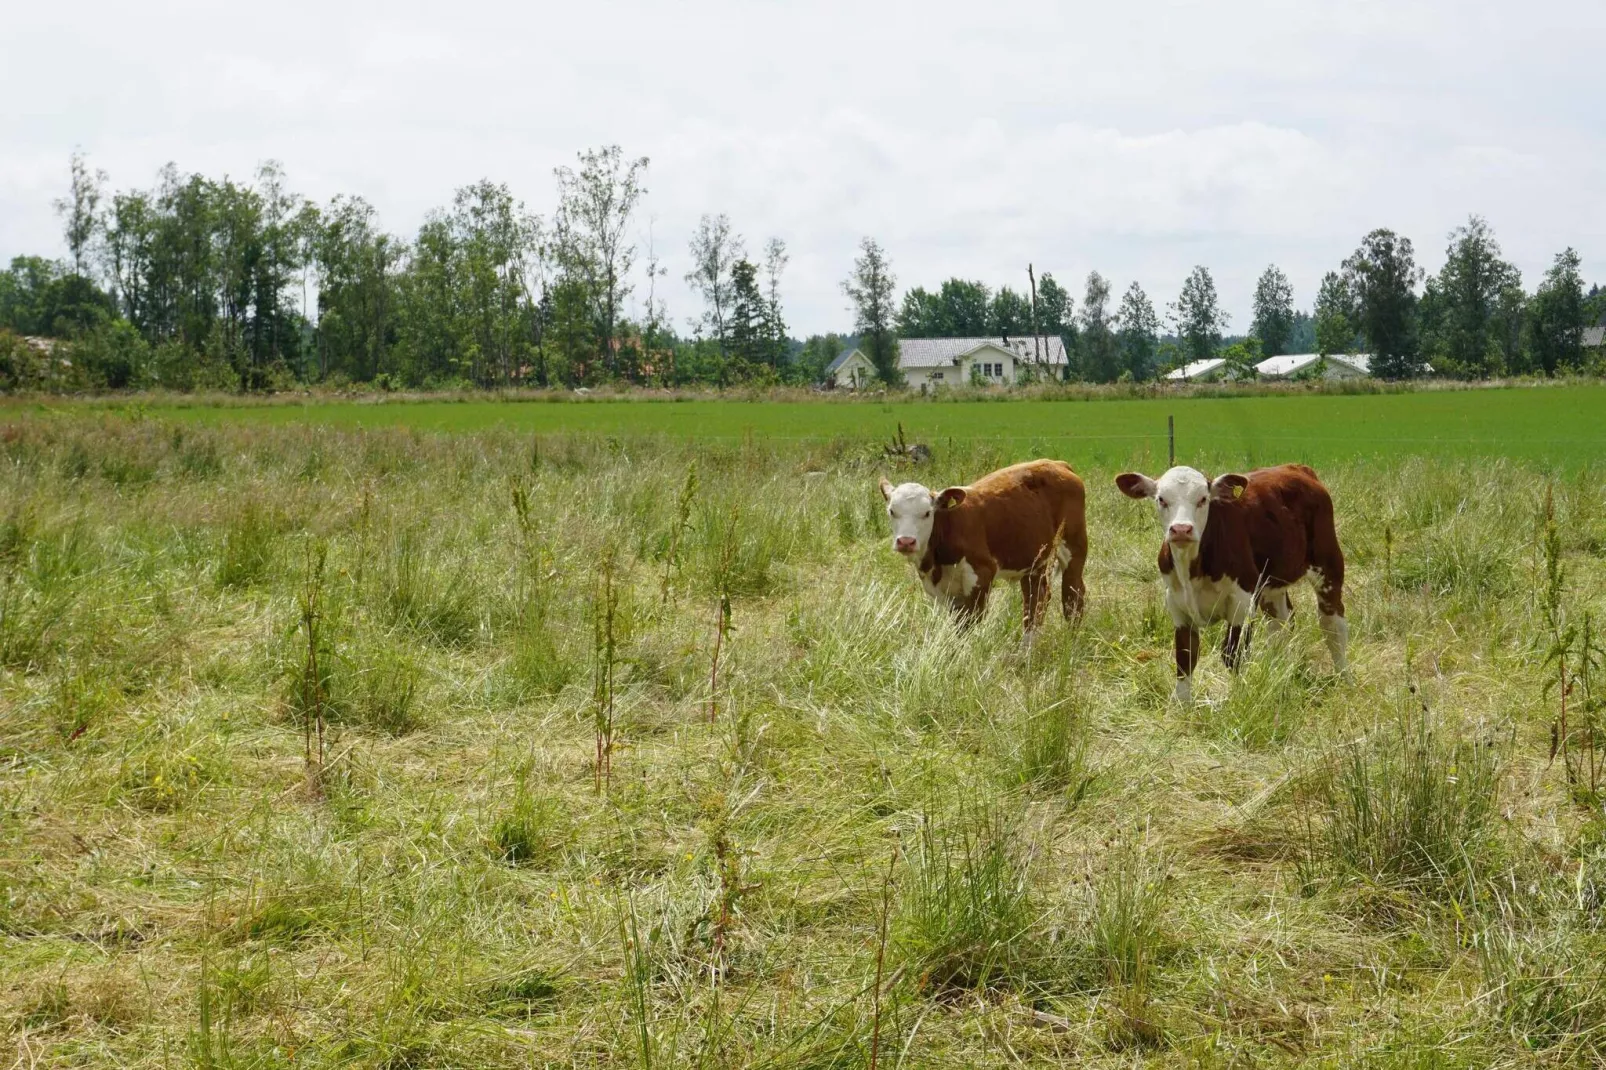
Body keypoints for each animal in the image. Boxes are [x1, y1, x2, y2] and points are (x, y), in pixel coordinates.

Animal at [880, 456, 1092, 636]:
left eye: (927, 513)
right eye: (891, 511)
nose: (906, 541)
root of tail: (1057, 463)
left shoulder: (981, 574)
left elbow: (967, 625)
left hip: (1075, 546)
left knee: (1073, 596)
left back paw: (1071, 640)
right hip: (1035, 560)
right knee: (1036, 601)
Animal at [1117, 459, 1342, 700]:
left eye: (1203, 499)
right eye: (1161, 499)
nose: (1181, 529)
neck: (1191, 569)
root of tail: (1296, 467)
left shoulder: (1243, 600)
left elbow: (1233, 654)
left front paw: (1238, 696)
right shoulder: (1177, 604)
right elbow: (1185, 658)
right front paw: (1182, 704)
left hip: (1328, 564)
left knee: (1332, 626)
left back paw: (1344, 678)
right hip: (1271, 583)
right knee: (1280, 623)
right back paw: (1278, 672)